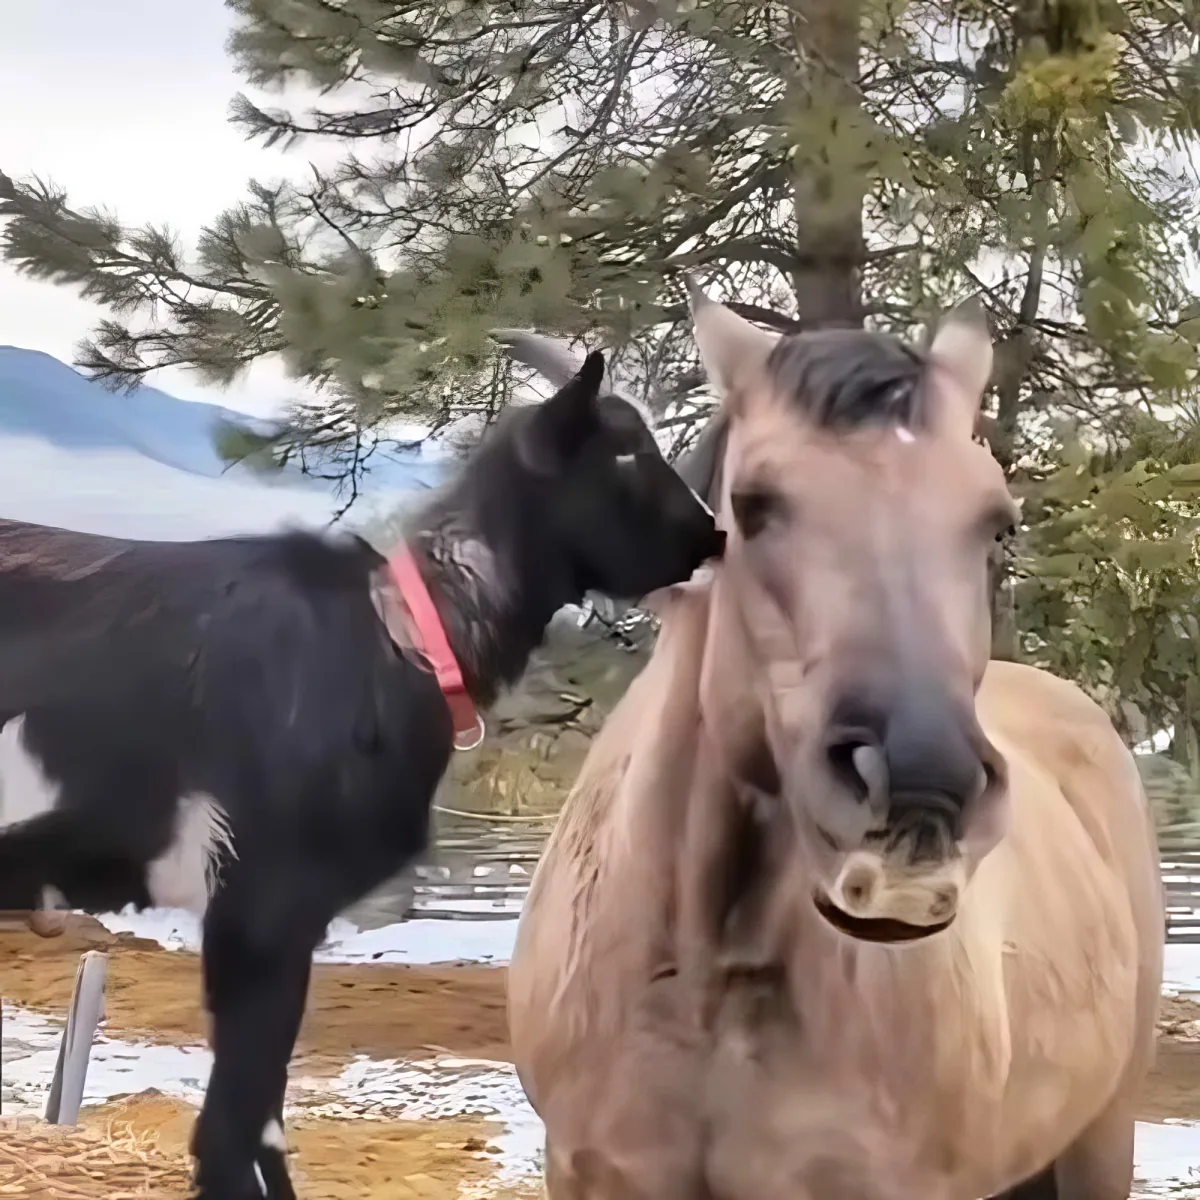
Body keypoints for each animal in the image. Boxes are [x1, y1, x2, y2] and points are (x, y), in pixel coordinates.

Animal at [0, 349, 724, 1200]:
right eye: (623, 450)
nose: (712, 534)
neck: (401, 637)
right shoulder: (263, 908)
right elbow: (232, 1133)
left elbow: (262, 1125)